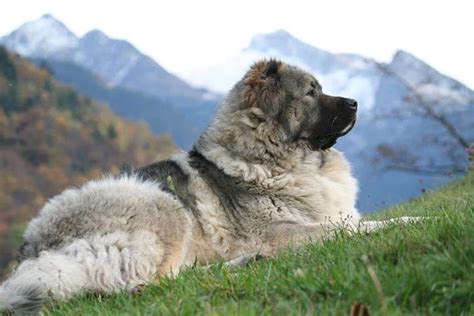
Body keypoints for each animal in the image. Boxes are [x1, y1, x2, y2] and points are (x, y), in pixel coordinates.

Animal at [0, 59, 414, 314]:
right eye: (311, 92)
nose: (355, 103)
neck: (269, 154)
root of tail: (33, 246)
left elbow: (358, 222)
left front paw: (409, 218)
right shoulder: (285, 232)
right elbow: (353, 229)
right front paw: (405, 223)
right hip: (162, 204)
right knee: (158, 283)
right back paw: (242, 262)